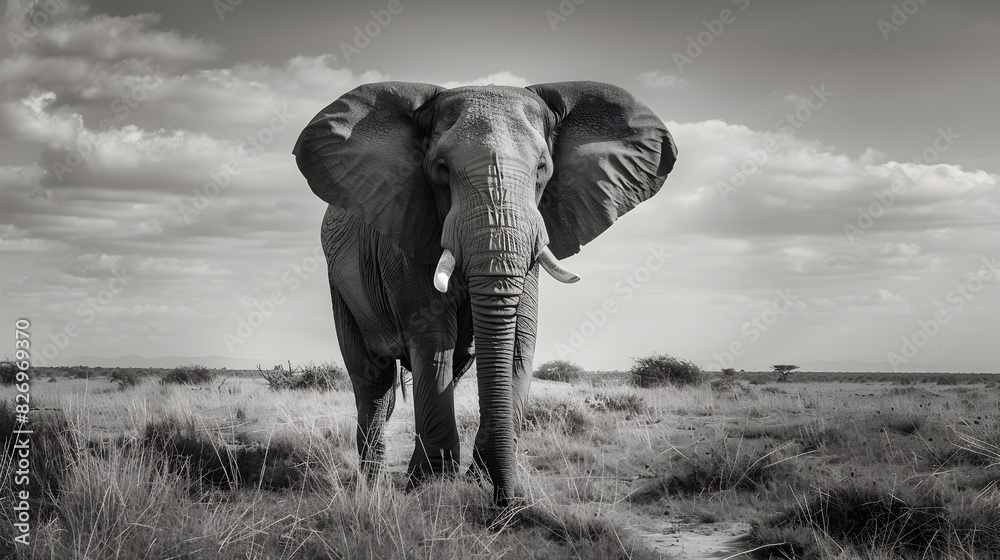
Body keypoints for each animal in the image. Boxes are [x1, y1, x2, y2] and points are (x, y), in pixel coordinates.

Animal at [293, 81, 676, 505]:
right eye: (441, 170)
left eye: (542, 170)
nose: (508, 503)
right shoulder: (407, 232)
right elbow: (433, 340)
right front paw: (433, 488)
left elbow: (518, 343)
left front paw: (480, 482)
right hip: (338, 281)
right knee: (373, 382)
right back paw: (370, 486)